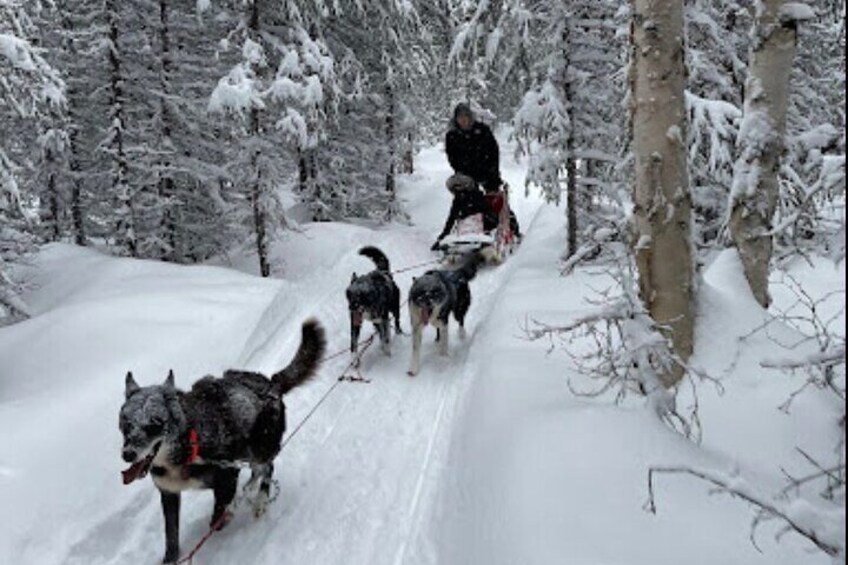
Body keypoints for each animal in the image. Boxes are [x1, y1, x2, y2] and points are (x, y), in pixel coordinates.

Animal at [121, 320, 326, 560]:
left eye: (154, 423)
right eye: (126, 423)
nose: (128, 454)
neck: (188, 444)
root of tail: (270, 383)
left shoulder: (227, 475)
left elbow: (217, 518)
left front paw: (229, 512)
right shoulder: (169, 494)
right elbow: (171, 537)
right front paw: (171, 558)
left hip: (259, 447)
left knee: (267, 468)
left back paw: (260, 501)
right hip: (247, 450)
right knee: (257, 470)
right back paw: (250, 487)